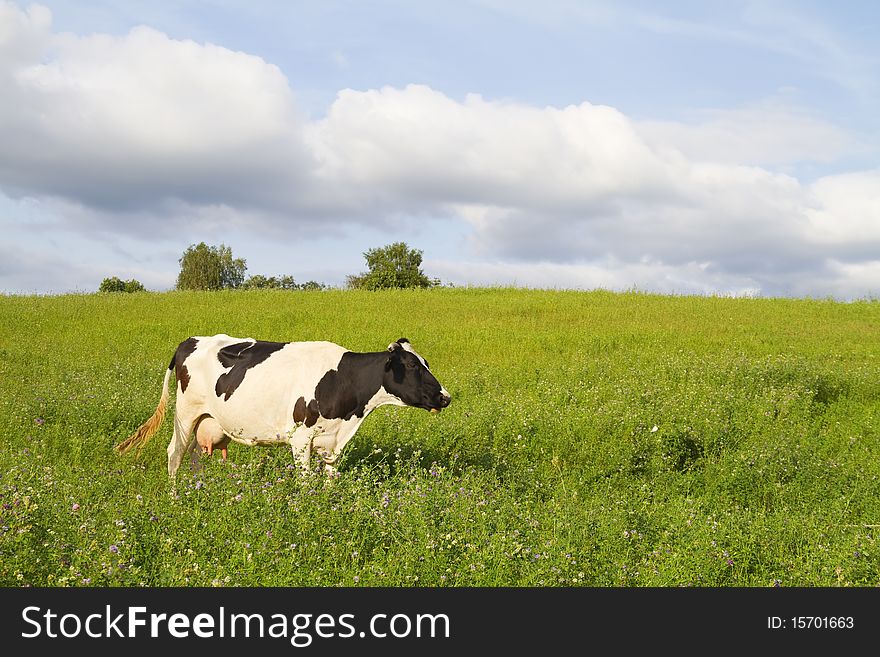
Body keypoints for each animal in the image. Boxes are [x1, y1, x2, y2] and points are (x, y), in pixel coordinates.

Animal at [113, 334, 450, 476]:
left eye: (427, 363)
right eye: (412, 365)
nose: (445, 397)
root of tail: (190, 340)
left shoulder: (332, 442)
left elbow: (329, 480)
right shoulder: (300, 440)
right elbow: (305, 481)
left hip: (204, 419)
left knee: (193, 456)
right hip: (185, 413)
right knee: (175, 454)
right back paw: (175, 499)